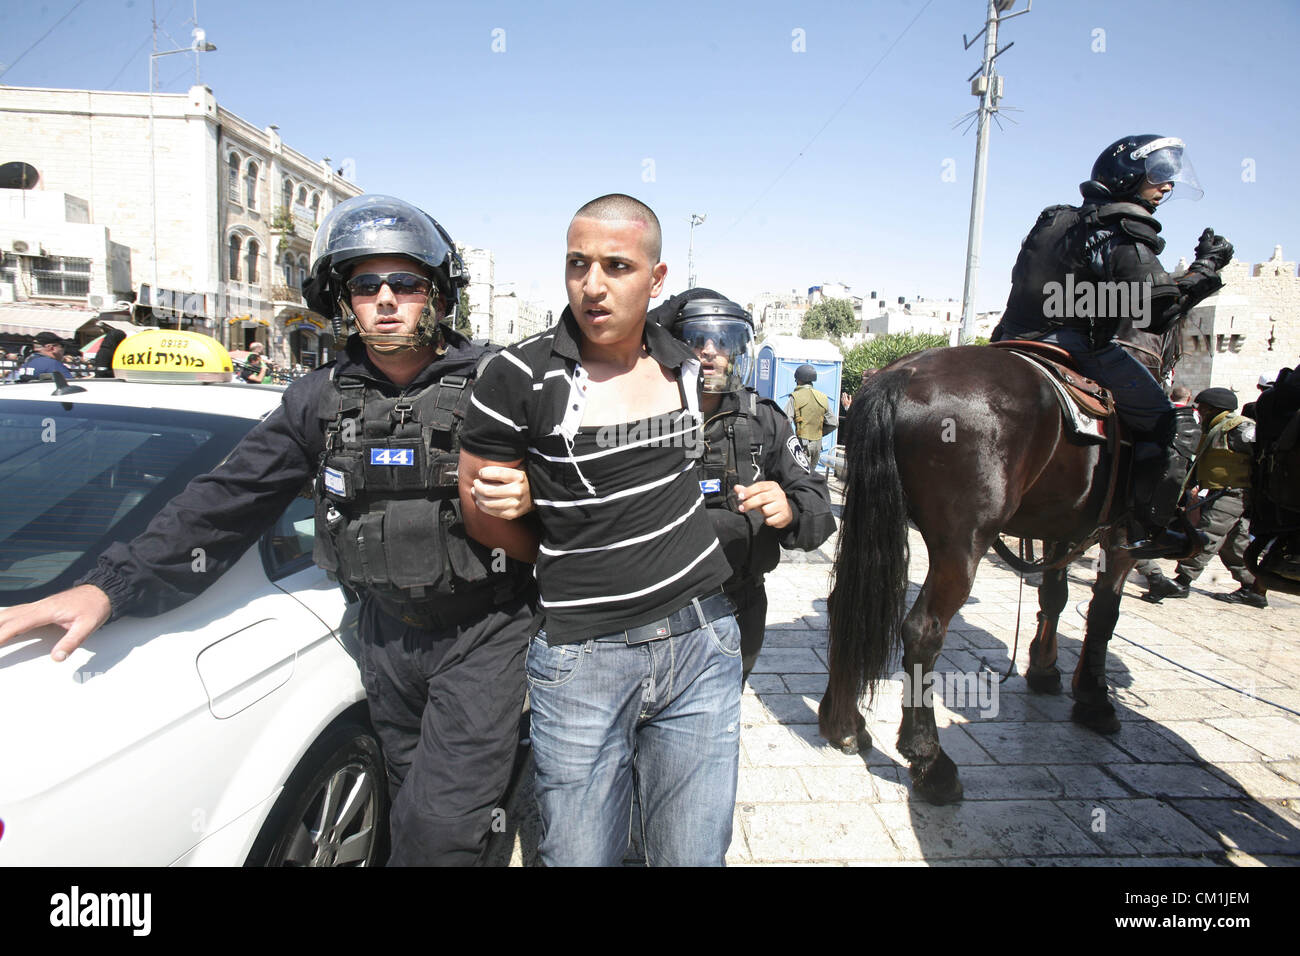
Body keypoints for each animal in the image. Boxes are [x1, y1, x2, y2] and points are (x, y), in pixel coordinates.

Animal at [821, 325, 1180, 806]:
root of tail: (905, 371)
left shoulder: (1061, 528)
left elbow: (1055, 596)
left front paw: (1045, 669)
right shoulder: (1118, 535)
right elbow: (1104, 615)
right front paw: (1094, 698)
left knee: (847, 604)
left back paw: (844, 723)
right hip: (963, 542)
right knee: (923, 630)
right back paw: (930, 760)